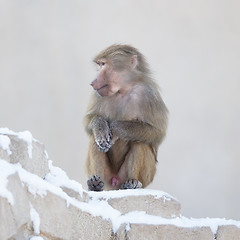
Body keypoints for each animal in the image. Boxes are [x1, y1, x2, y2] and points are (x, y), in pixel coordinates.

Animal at [83, 43, 168, 191]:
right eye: (99, 65)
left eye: (103, 64)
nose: (92, 82)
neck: (123, 89)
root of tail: (114, 185)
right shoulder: (98, 94)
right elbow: (90, 120)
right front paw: (101, 129)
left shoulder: (149, 94)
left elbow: (157, 132)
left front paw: (116, 129)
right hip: (107, 176)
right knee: (94, 139)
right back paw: (95, 184)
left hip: (144, 177)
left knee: (140, 140)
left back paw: (133, 182)